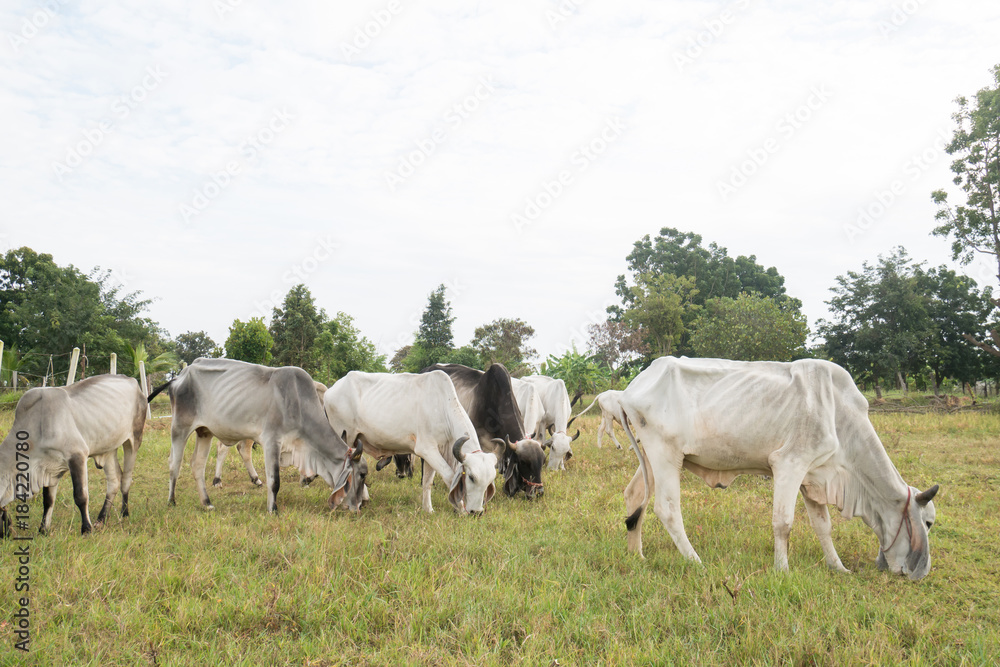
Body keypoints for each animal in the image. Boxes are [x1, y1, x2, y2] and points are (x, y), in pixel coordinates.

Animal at [0, 376, 146, 536]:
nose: (5, 534)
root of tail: (132, 380)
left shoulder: (77, 456)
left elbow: (80, 496)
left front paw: (86, 529)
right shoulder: (49, 468)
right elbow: (48, 500)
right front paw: (43, 530)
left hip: (134, 440)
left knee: (126, 479)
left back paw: (124, 514)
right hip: (108, 448)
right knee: (114, 481)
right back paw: (101, 520)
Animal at [150, 358, 362, 516]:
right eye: (362, 474)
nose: (362, 505)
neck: (299, 403)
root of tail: (179, 377)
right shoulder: (272, 441)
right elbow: (274, 480)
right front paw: (273, 509)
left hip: (204, 432)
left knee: (198, 465)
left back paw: (207, 502)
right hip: (179, 427)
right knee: (174, 464)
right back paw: (172, 501)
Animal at [322, 370, 498, 516]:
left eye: (490, 480)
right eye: (471, 477)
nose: (477, 512)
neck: (443, 407)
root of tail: (331, 390)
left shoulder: (433, 453)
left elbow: (427, 482)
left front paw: (428, 510)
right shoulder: (426, 448)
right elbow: (450, 477)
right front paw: (460, 509)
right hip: (343, 435)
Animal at [620, 358, 940, 580]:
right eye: (927, 523)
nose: (921, 573)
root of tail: (630, 388)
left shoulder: (814, 477)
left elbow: (823, 527)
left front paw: (838, 567)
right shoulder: (789, 464)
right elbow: (783, 523)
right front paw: (782, 570)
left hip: (650, 458)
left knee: (635, 497)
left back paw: (637, 556)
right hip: (665, 455)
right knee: (667, 509)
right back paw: (695, 561)